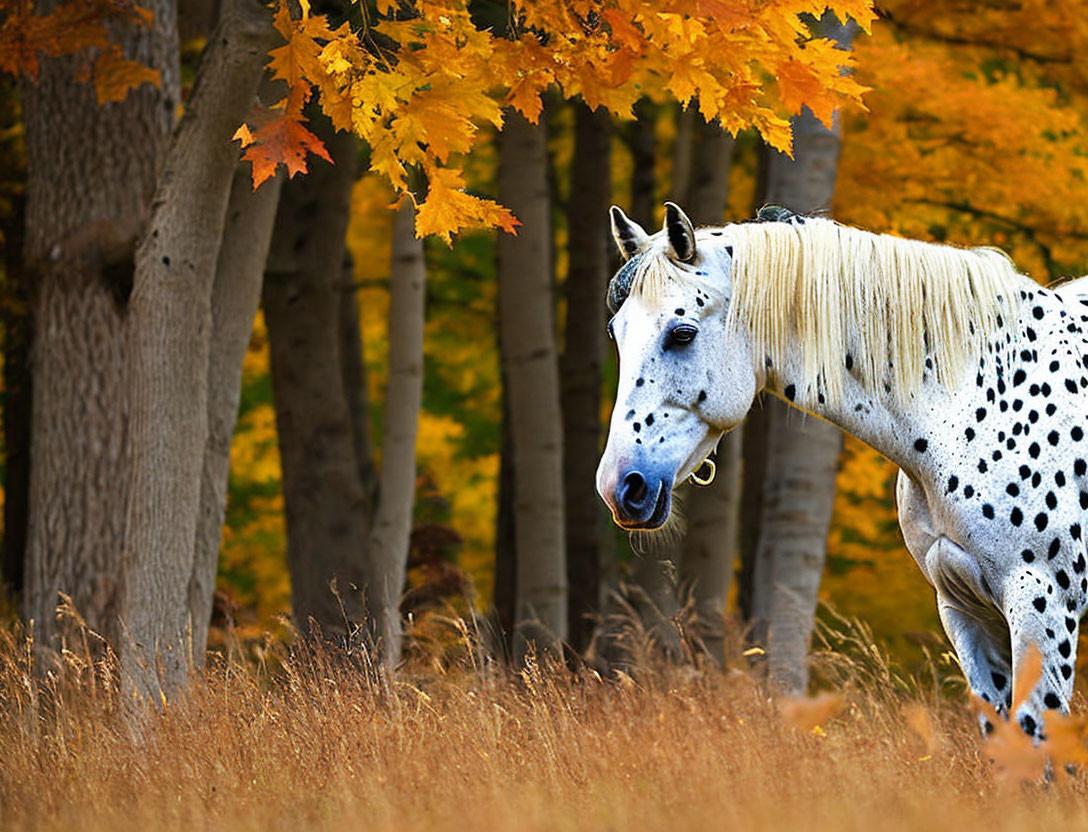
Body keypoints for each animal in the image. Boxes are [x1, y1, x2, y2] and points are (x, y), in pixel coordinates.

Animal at [600, 204, 1088, 735]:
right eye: (615, 333)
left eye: (682, 333)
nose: (620, 486)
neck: (979, 397)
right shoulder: (965, 611)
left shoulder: (1041, 607)